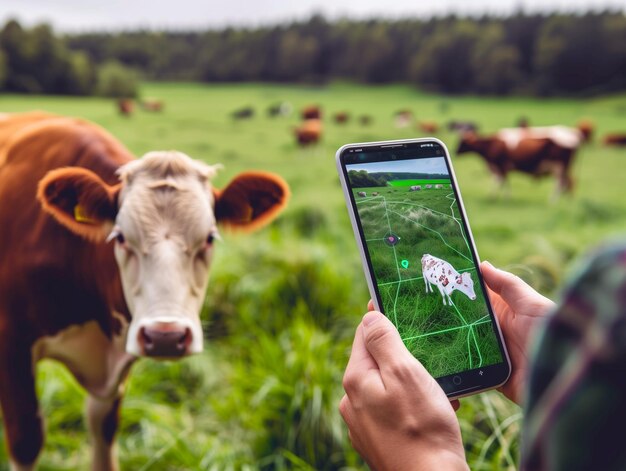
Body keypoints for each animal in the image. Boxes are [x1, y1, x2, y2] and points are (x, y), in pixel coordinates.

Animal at [0, 112, 288, 470]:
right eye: (120, 237)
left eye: (209, 238)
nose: (166, 336)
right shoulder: (12, 345)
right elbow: (26, 439)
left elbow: (103, 427)